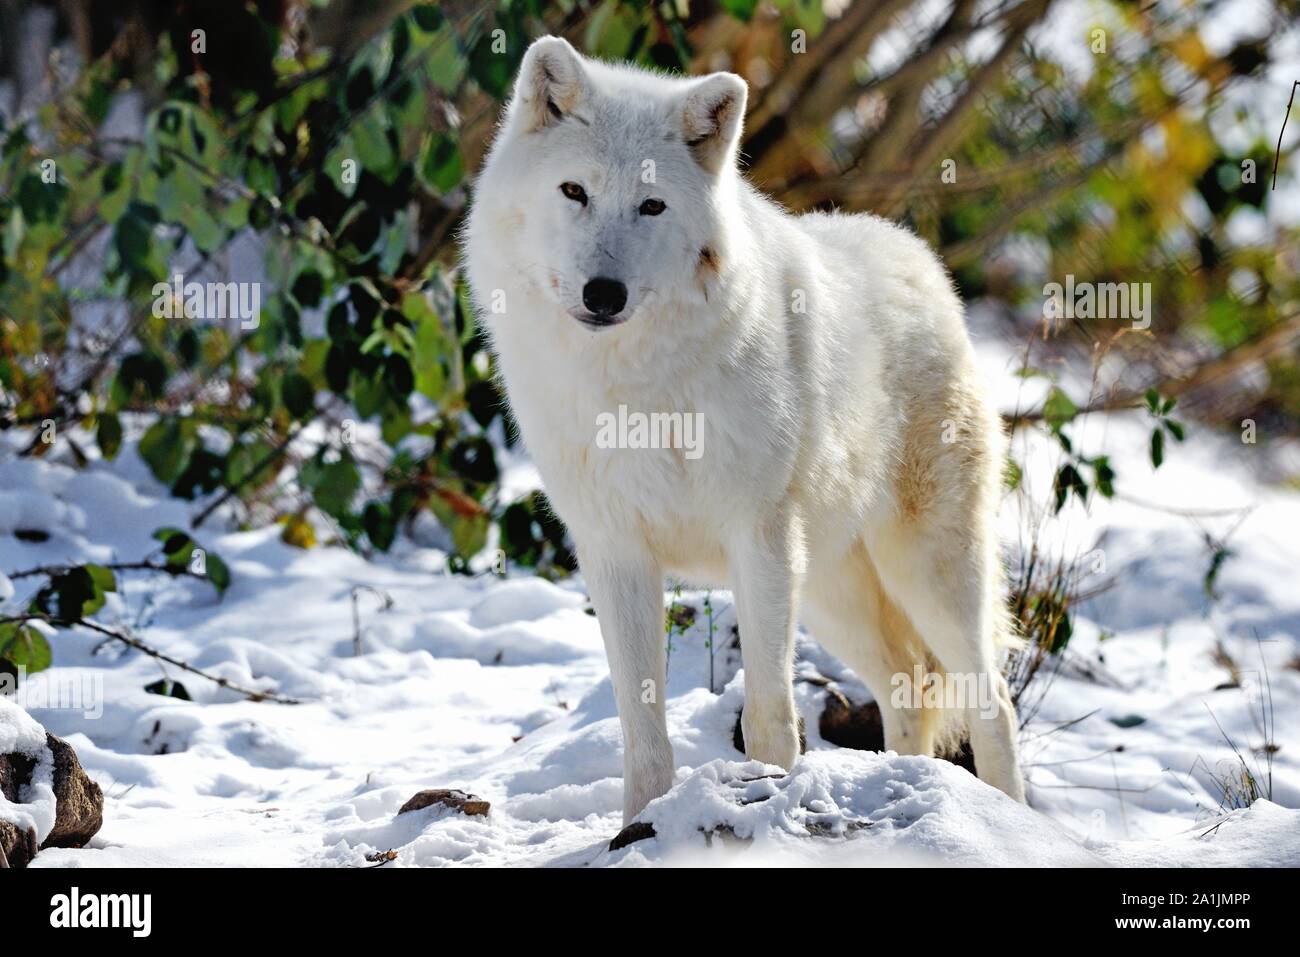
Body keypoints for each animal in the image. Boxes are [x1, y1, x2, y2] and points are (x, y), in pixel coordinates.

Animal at [462, 37, 1019, 826]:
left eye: (652, 205)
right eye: (574, 192)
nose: (604, 293)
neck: (636, 390)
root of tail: (923, 263)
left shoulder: (760, 540)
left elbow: (769, 718)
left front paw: (767, 803)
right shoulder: (616, 551)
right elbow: (643, 729)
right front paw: (639, 825)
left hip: (923, 573)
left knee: (993, 701)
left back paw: (1012, 817)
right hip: (834, 592)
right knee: (909, 685)